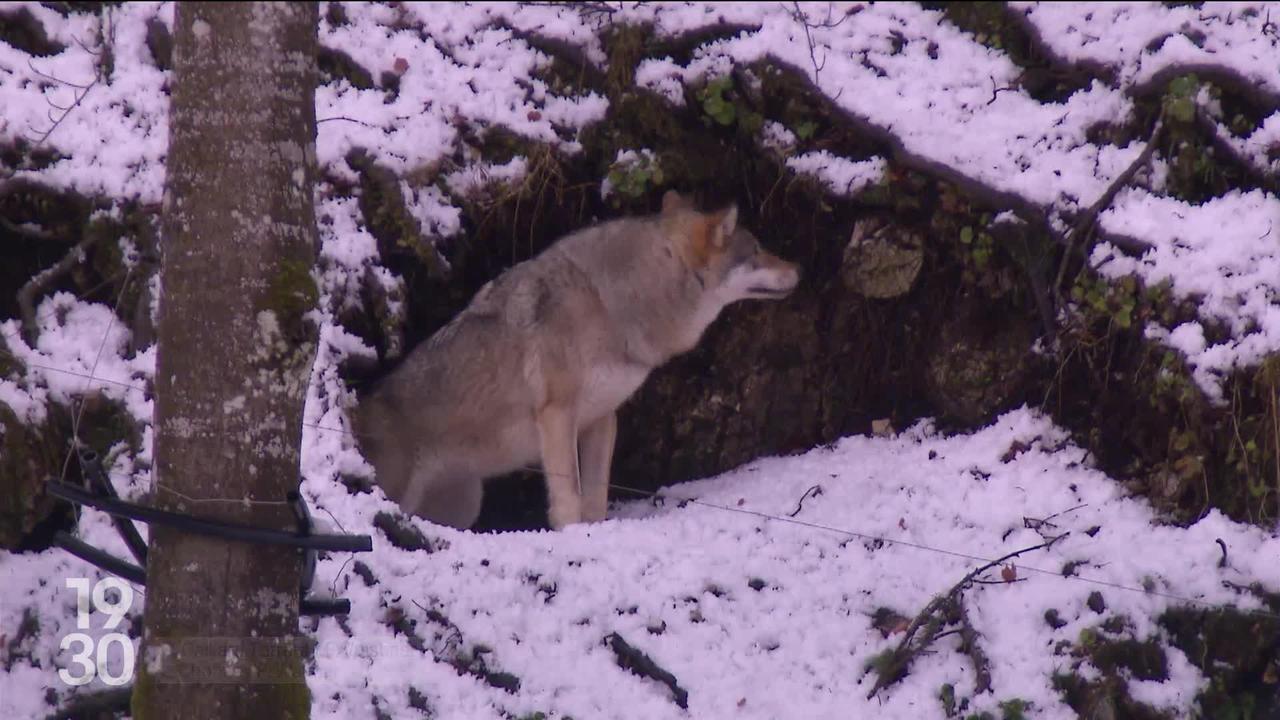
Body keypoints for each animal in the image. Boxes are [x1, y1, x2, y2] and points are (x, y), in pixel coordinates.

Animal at [353, 190, 798, 527]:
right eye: (758, 251)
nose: (799, 269)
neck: (609, 303)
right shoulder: (557, 415)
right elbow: (569, 497)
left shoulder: (602, 418)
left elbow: (596, 498)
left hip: (465, 504)